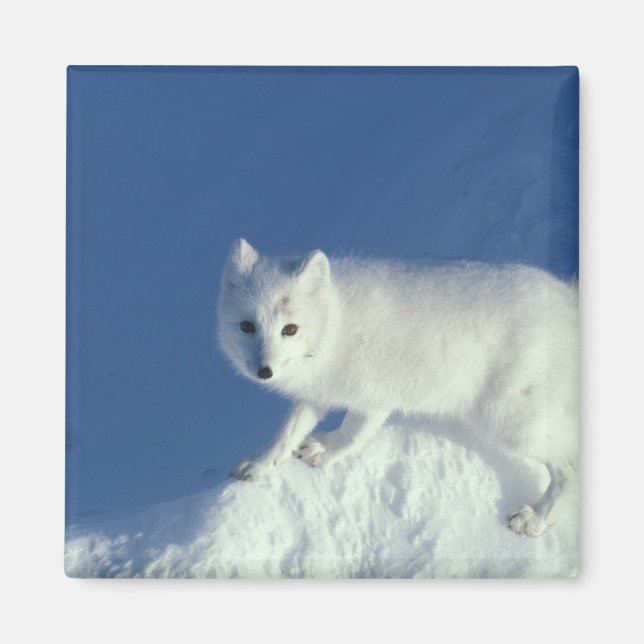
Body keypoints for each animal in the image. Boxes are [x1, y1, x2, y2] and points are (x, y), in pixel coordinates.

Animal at [217, 239, 578, 537]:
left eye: (290, 329)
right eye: (247, 326)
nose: (264, 371)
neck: (335, 324)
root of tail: (568, 304)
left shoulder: (374, 398)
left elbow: (353, 435)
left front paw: (327, 454)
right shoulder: (319, 392)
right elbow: (287, 433)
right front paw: (260, 465)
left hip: (507, 421)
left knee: (569, 466)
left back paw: (536, 519)